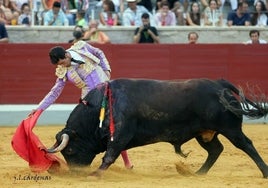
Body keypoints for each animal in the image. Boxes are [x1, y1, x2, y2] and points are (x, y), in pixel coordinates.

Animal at [47, 78, 268, 178]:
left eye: (70, 150)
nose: (75, 173)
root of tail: (219, 83)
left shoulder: (119, 135)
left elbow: (109, 155)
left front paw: (96, 174)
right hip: (205, 134)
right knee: (216, 150)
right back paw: (198, 173)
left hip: (231, 129)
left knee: (247, 145)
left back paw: (264, 172)